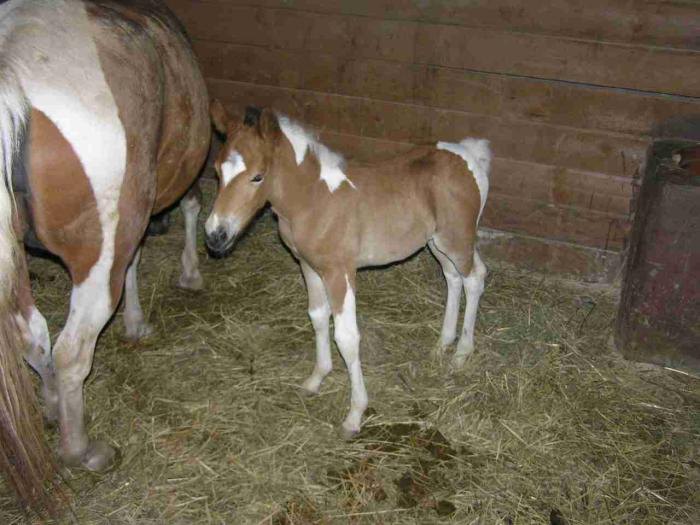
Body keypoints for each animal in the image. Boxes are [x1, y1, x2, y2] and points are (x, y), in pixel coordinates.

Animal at [0, 0, 209, 510]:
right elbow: (189, 209)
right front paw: (188, 275)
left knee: (32, 336)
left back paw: (53, 406)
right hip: (97, 257)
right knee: (72, 350)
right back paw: (81, 449)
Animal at [208, 102, 490, 438]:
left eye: (257, 176)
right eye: (216, 171)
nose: (215, 235)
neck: (313, 199)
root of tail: (470, 154)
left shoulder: (339, 272)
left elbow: (346, 337)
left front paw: (355, 414)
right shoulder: (309, 266)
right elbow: (317, 317)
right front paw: (316, 379)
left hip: (457, 238)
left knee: (474, 278)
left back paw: (462, 352)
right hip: (437, 243)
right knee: (452, 278)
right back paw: (442, 344)